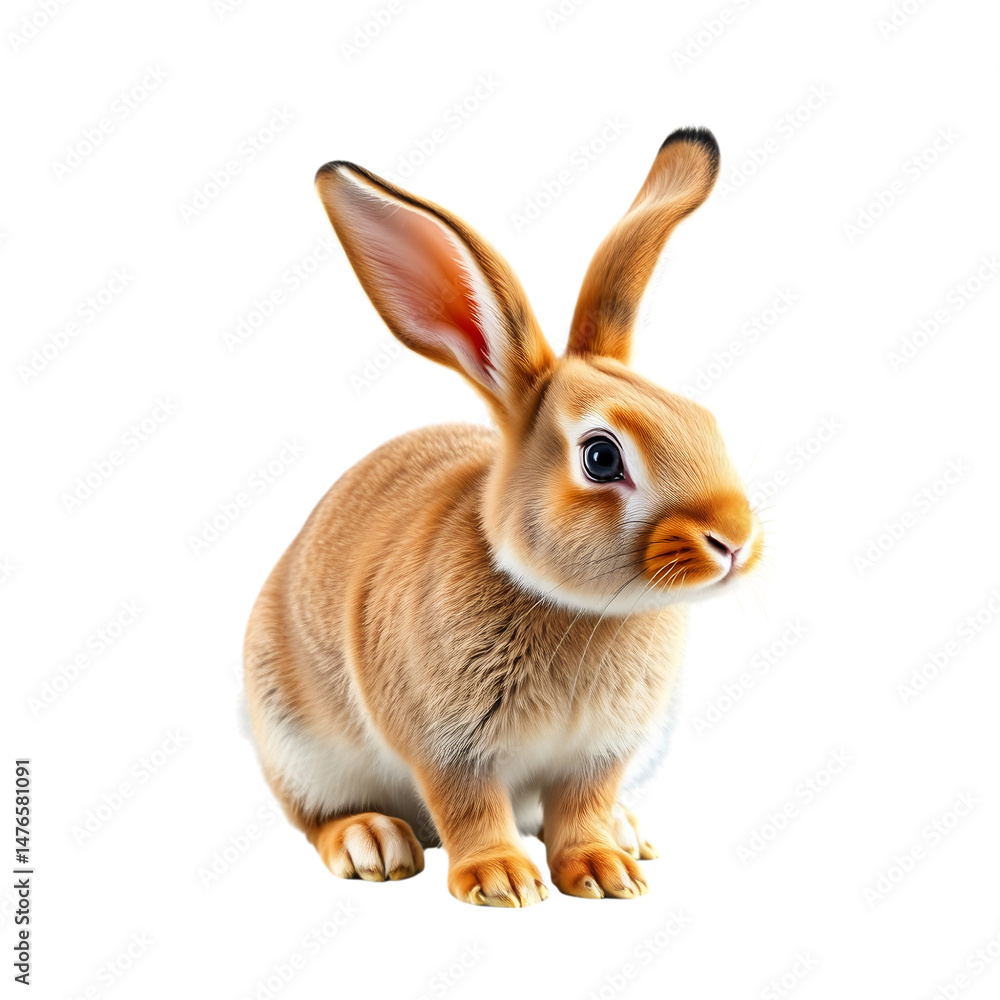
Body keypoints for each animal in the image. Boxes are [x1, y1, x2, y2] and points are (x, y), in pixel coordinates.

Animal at [243, 127, 763, 906]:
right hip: (295, 741)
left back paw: (628, 833)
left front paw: (604, 872)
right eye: (601, 457)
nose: (734, 541)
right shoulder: (448, 745)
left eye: (704, 420)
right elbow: (469, 805)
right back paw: (372, 841)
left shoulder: (598, 755)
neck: (579, 607)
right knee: (318, 815)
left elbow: (581, 807)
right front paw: (500, 883)